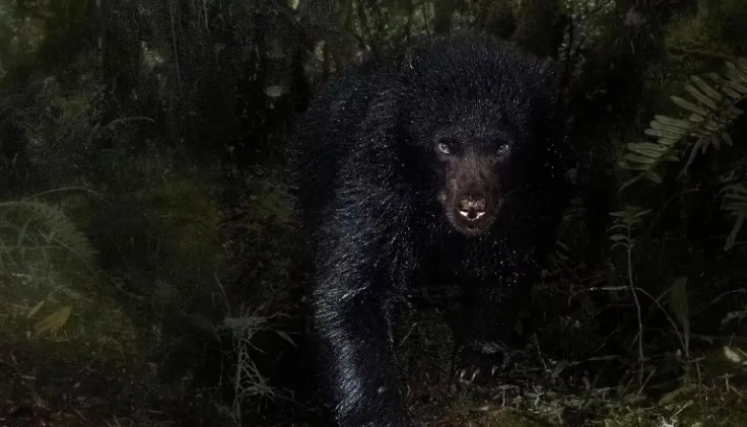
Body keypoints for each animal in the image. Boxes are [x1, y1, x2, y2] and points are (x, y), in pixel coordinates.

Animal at [295, 32, 572, 427]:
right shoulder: (376, 178)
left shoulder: (538, 189)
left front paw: (478, 358)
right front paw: (381, 412)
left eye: (502, 146)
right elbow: (353, 292)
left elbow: (512, 264)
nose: (472, 206)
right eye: (445, 145)